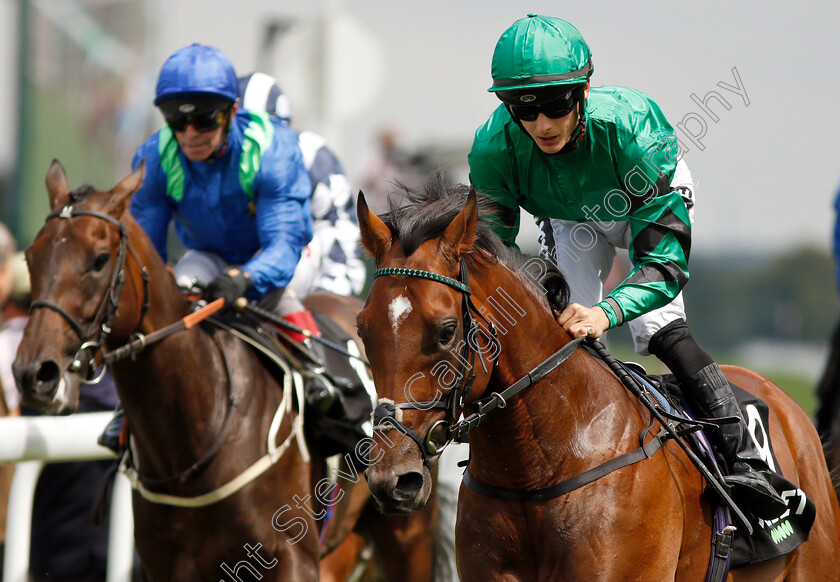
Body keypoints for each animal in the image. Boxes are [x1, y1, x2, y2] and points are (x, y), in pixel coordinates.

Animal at [13, 161, 436, 582]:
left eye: (100, 260)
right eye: (31, 258)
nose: (35, 372)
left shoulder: (292, 559)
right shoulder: (165, 566)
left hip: (407, 529)